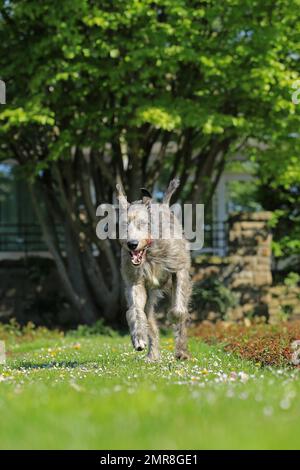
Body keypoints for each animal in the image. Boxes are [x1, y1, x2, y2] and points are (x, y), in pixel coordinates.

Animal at [116, 178, 191, 362]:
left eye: (143, 224)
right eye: (124, 225)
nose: (132, 244)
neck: (149, 252)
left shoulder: (179, 269)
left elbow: (179, 312)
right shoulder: (135, 281)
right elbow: (136, 310)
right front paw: (138, 337)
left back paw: (180, 351)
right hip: (149, 295)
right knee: (148, 317)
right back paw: (153, 354)